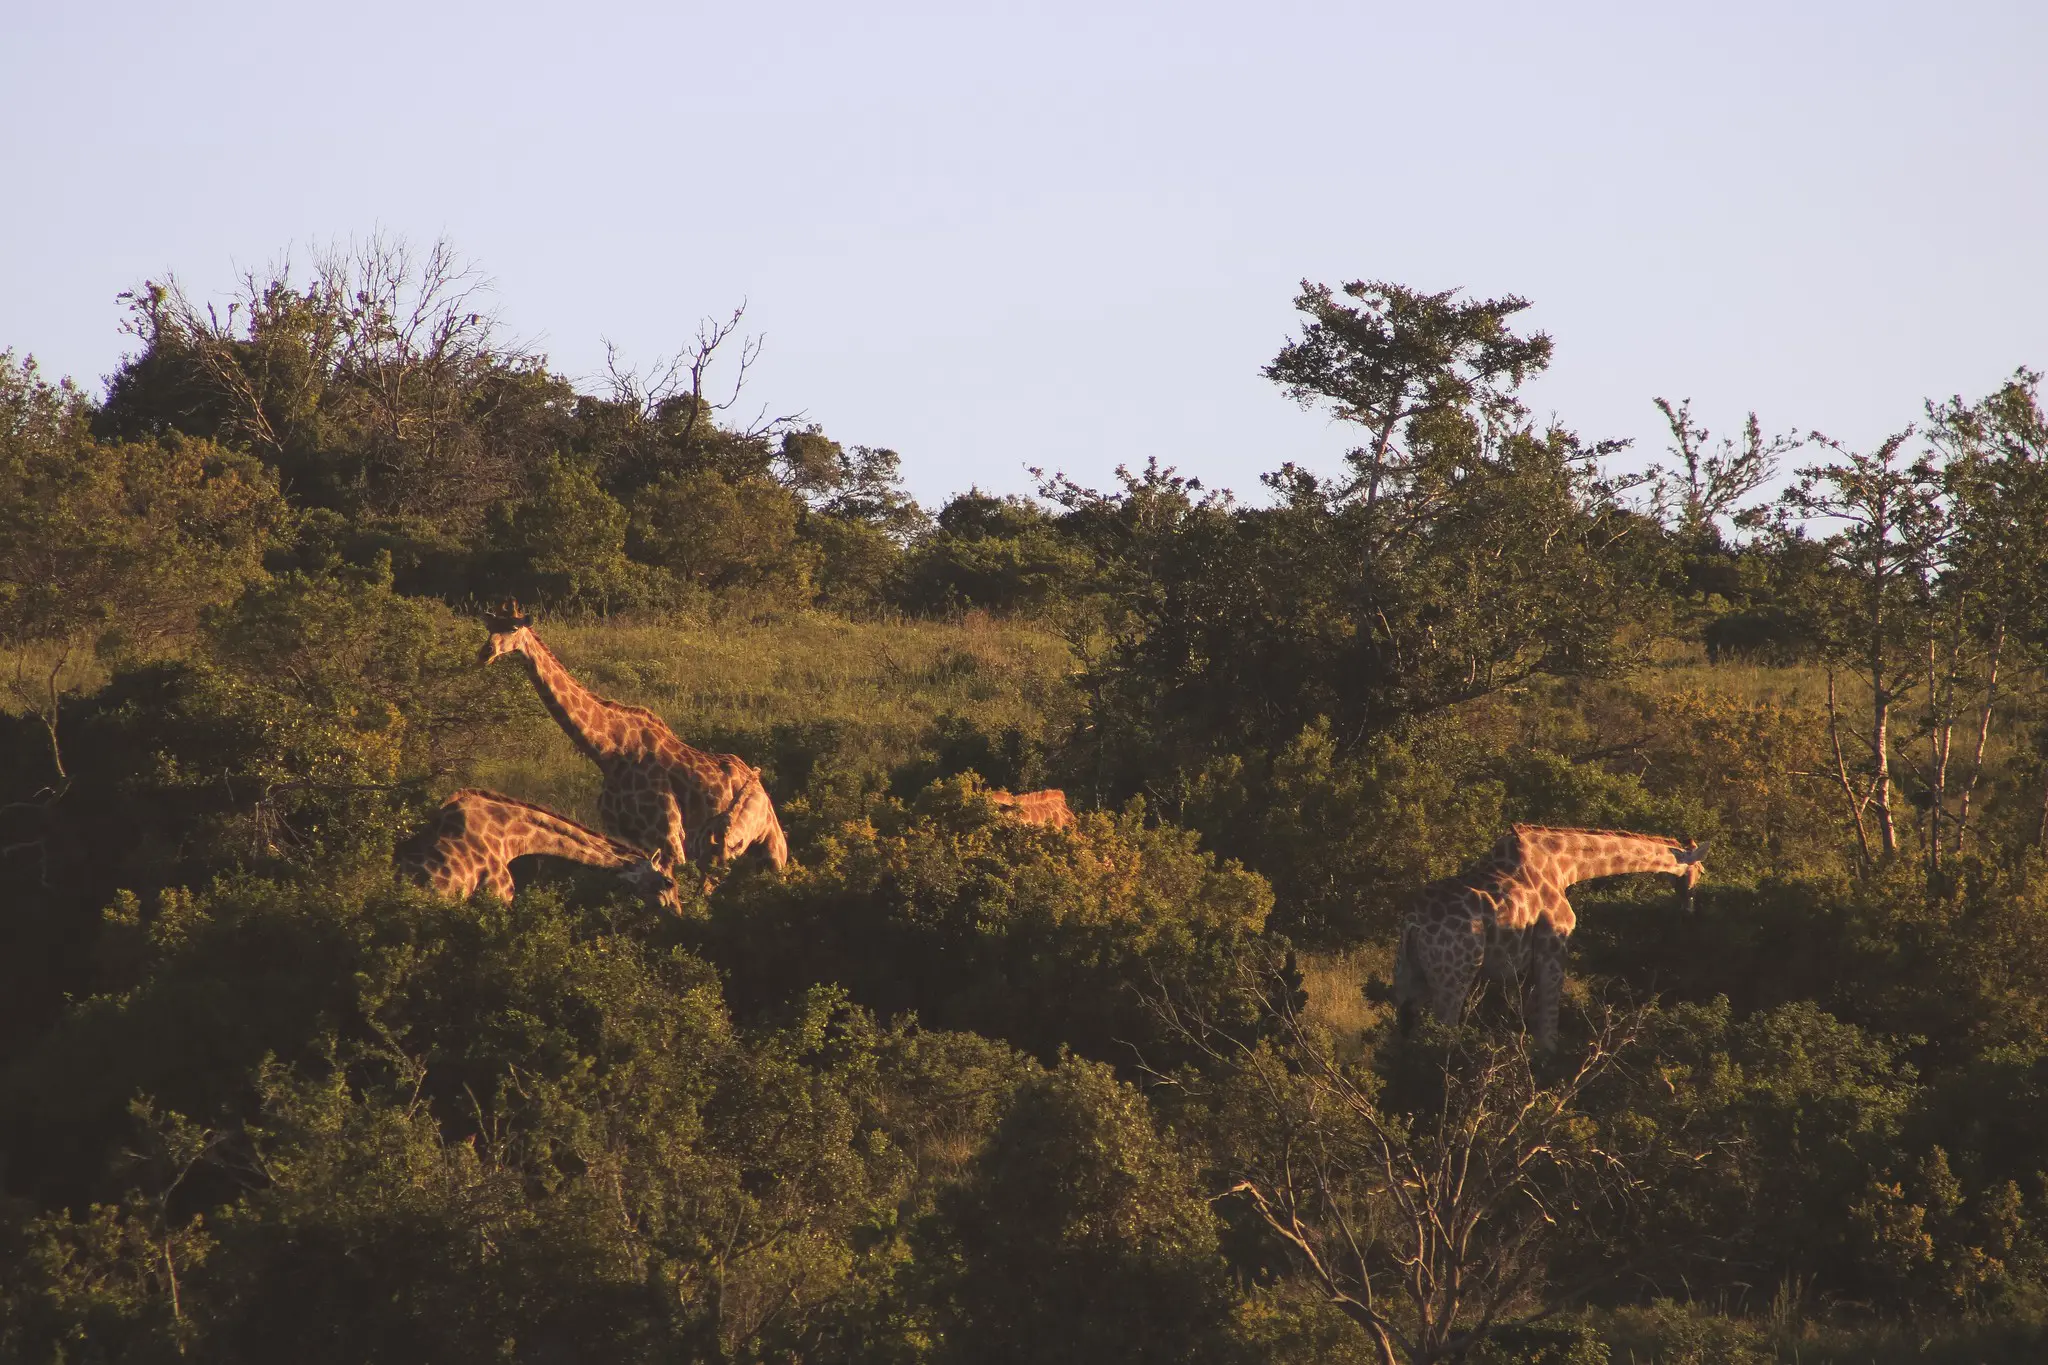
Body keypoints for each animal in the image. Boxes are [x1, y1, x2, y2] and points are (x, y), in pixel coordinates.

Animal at [478, 602, 788, 885]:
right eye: (490, 627)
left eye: (513, 628)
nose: (485, 653)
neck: (608, 752)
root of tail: (762, 787)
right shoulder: (628, 835)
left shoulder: (669, 835)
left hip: (770, 848)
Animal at [1393, 824, 1705, 1047]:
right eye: (1702, 870)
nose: (1688, 910)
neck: (1564, 866)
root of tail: (1413, 923)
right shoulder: (1553, 946)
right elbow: (1548, 1027)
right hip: (1455, 973)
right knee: (1444, 1029)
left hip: (1408, 975)